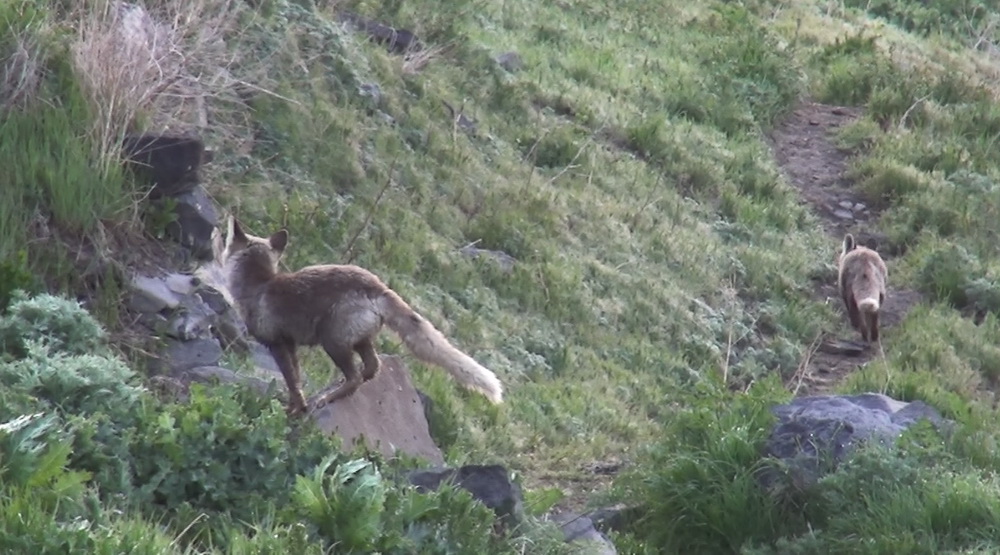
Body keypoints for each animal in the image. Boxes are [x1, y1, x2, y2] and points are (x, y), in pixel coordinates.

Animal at [225, 219, 508, 414]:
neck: (259, 286)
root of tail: (378, 286)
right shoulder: (291, 344)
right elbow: (297, 379)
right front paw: (297, 407)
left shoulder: (278, 344)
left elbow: (293, 383)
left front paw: (295, 409)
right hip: (360, 340)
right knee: (372, 368)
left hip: (333, 341)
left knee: (356, 377)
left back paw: (327, 398)